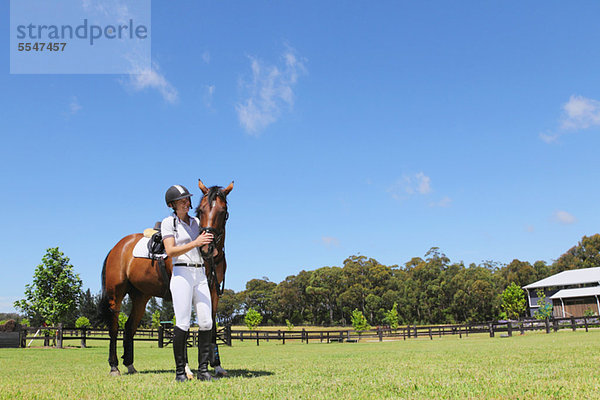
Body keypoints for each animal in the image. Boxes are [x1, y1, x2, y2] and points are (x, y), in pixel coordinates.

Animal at [99, 180, 233, 376]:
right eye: (200, 210)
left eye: (223, 212)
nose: (206, 248)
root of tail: (118, 247)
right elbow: (184, 330)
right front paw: (187, 369)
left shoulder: (213, 293)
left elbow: (212, 326)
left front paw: (216, 365)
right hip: (115, 295)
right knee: (115, 327)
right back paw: (114, 366)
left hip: (140, 297)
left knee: (129, 327)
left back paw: (130, 365)